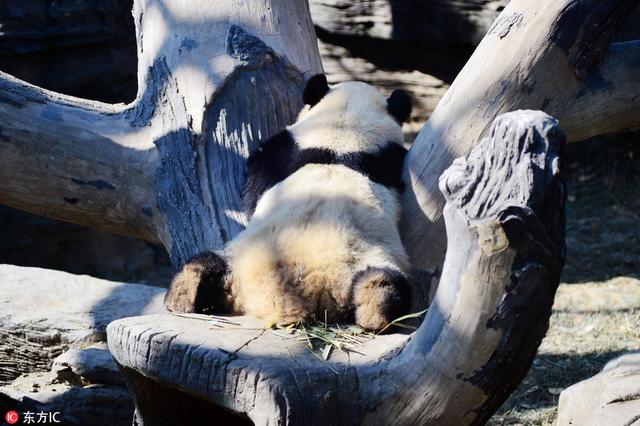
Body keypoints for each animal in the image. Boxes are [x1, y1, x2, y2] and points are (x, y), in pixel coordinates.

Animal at [165, 74, 412, 330]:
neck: (344, 140)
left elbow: (253, 189)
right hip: (240, 255)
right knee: (208, 263)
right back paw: (185, 291)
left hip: (366, 257)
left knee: (386, 281)